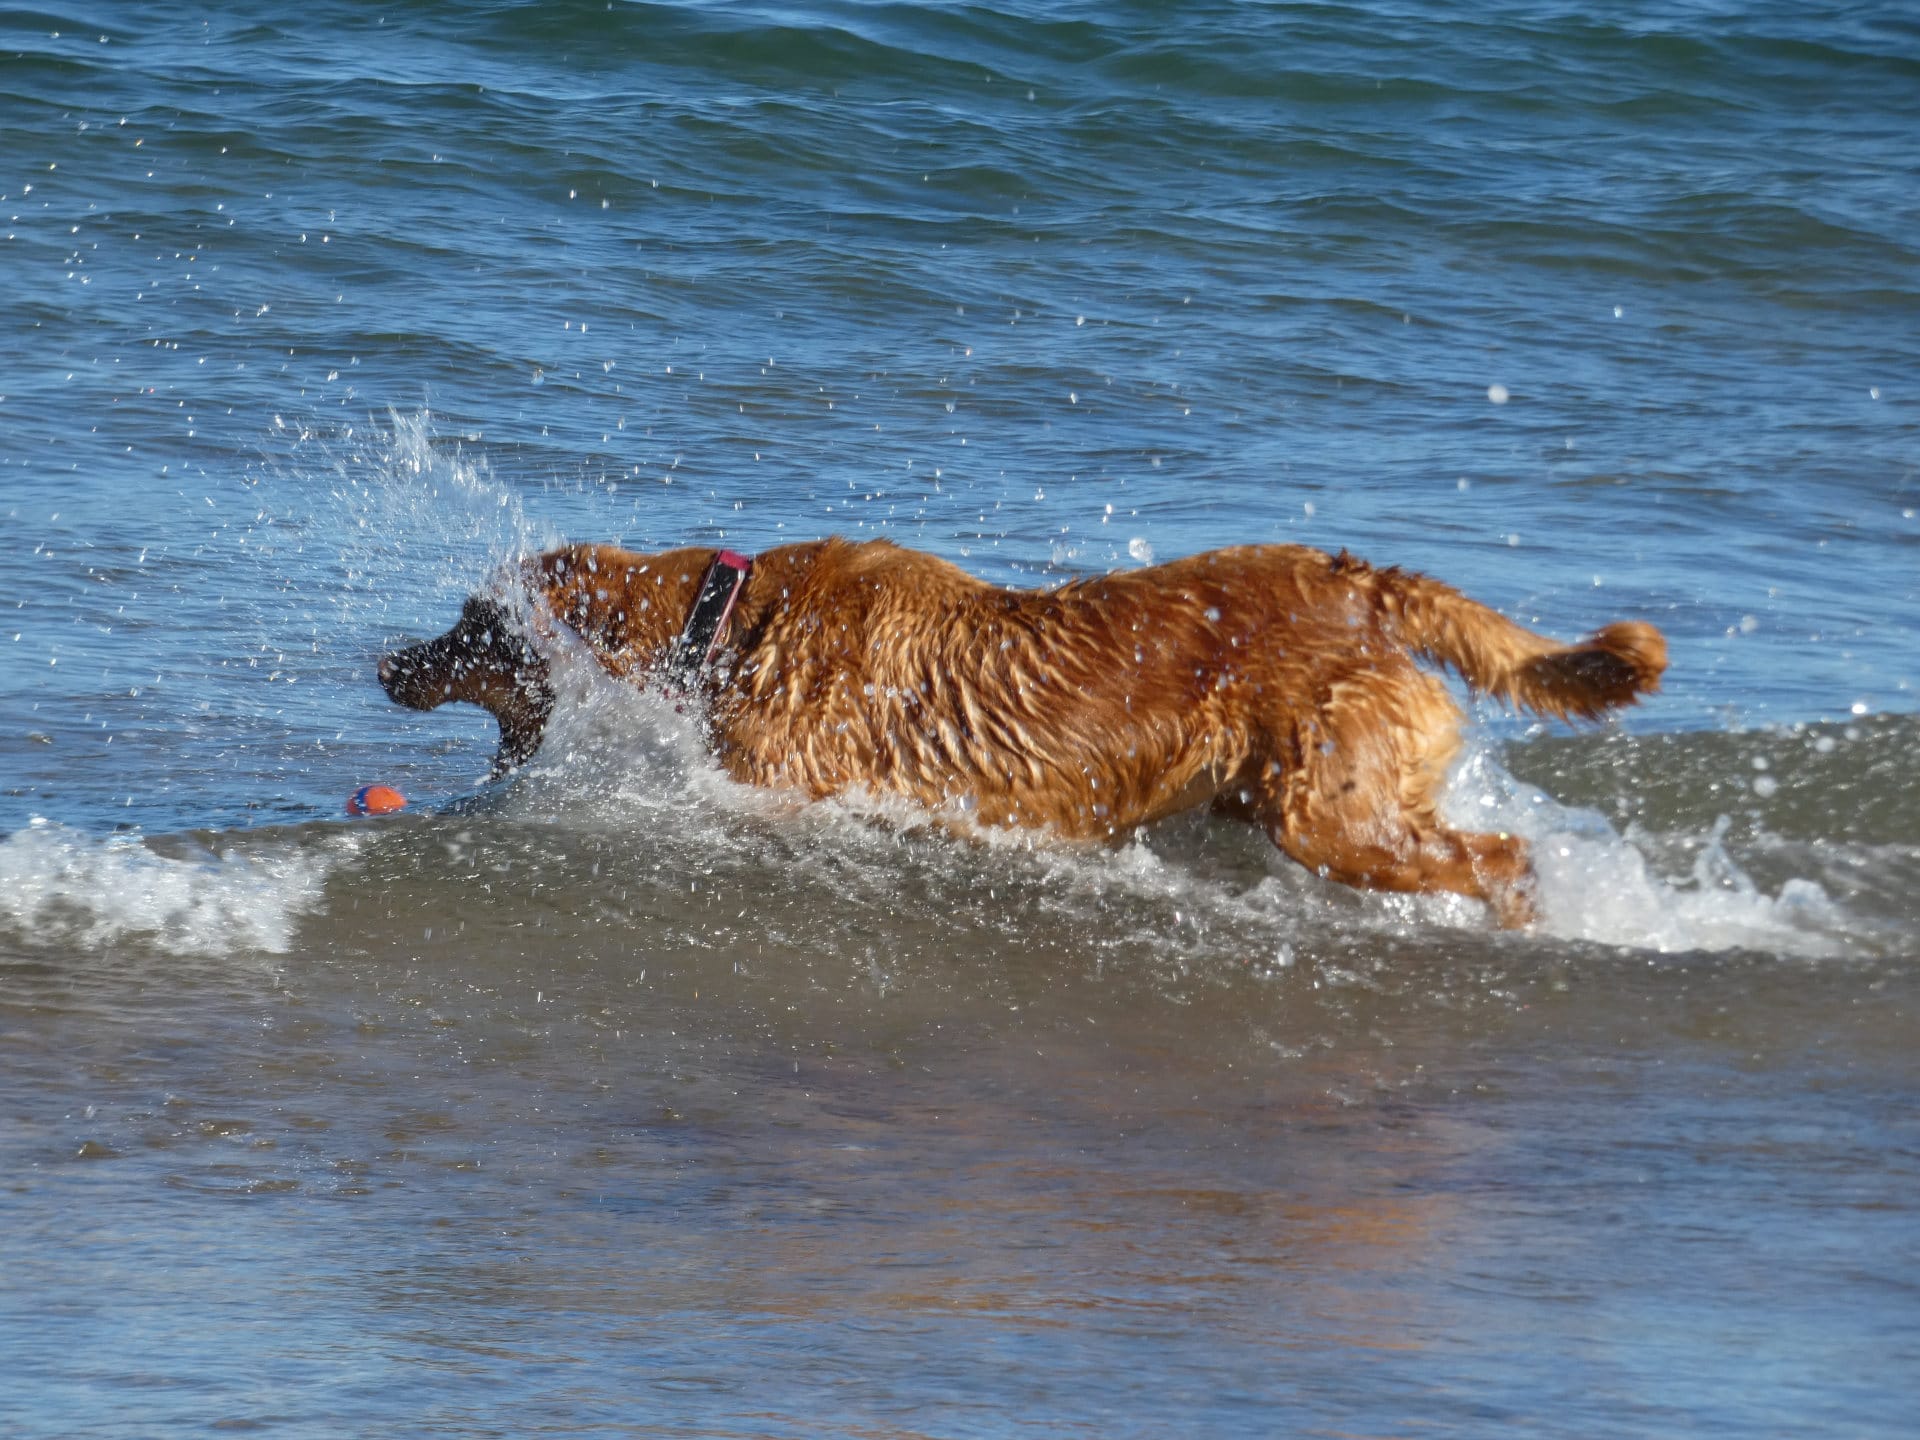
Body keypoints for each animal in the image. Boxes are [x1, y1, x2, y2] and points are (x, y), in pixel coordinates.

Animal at [378, 537, 1666, 925]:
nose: (387, 664)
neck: (719, 616)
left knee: (1501, 857)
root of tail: (1359, 584)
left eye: (470, 626)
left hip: (1331, 811)